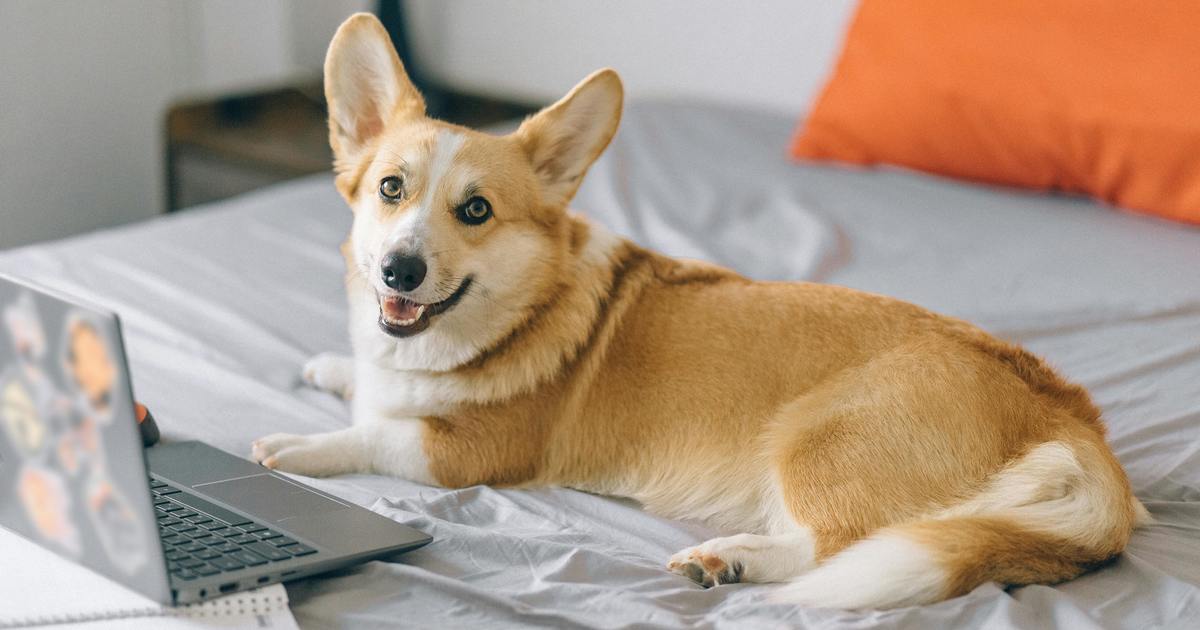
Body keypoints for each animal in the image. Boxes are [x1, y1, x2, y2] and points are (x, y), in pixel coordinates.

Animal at [250, 12, 1142, 607]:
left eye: (475, 212)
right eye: (390, 189)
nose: (398, 269)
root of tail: (1072, 421)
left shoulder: (466, 455)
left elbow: (375, 433)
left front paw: (295, 446)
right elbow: (360, 384)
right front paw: (329, 366)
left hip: (817, 439)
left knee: (839, 548)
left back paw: (734, 560)